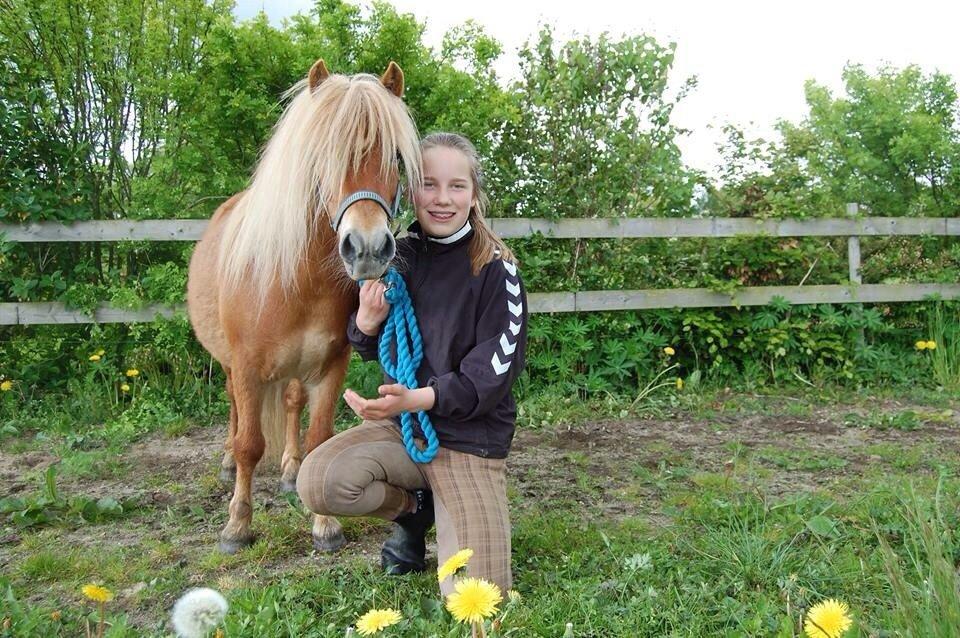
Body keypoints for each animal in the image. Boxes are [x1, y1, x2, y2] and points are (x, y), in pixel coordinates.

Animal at [188, 60, 420, 556]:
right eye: (322, 157)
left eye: (395, 157)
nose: (368, 249)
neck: (297, 280)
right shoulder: (247, 366)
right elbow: (250, 444)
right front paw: (237, 526)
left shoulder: (332, 363)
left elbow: (318, 438)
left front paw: (325, 525)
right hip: (230, 364)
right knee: (233, 408)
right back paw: (226, 464)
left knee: (293, 403)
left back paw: (292, 471)